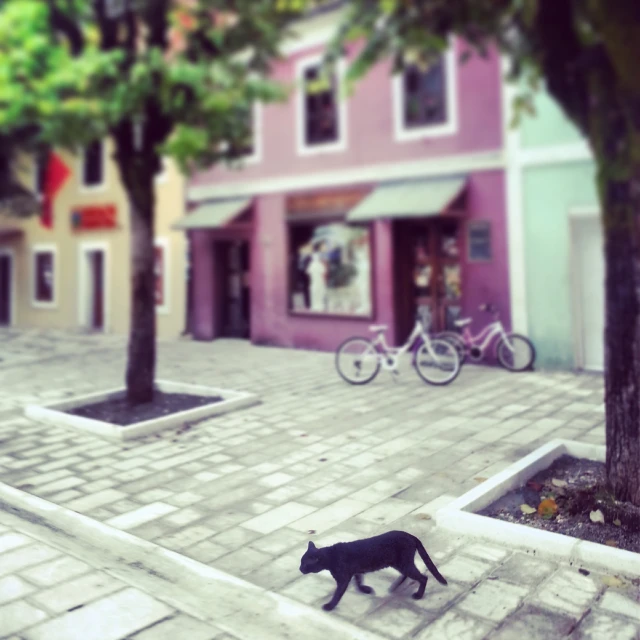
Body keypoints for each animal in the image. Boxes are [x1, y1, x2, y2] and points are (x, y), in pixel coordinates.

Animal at [298, 528, 444, 612]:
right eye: (301, 562)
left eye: (304, 564)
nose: (299, 569)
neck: (330, 557)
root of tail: (411, 535)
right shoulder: (355, 571)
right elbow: (358, 581)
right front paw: (365, 590)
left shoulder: (343, 579)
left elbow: (338, 594)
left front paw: (329, 606)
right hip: (401, 564)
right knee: (409, 575)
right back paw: (394, 586)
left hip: (403, 564)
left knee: (423, 577)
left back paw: (418, 595)